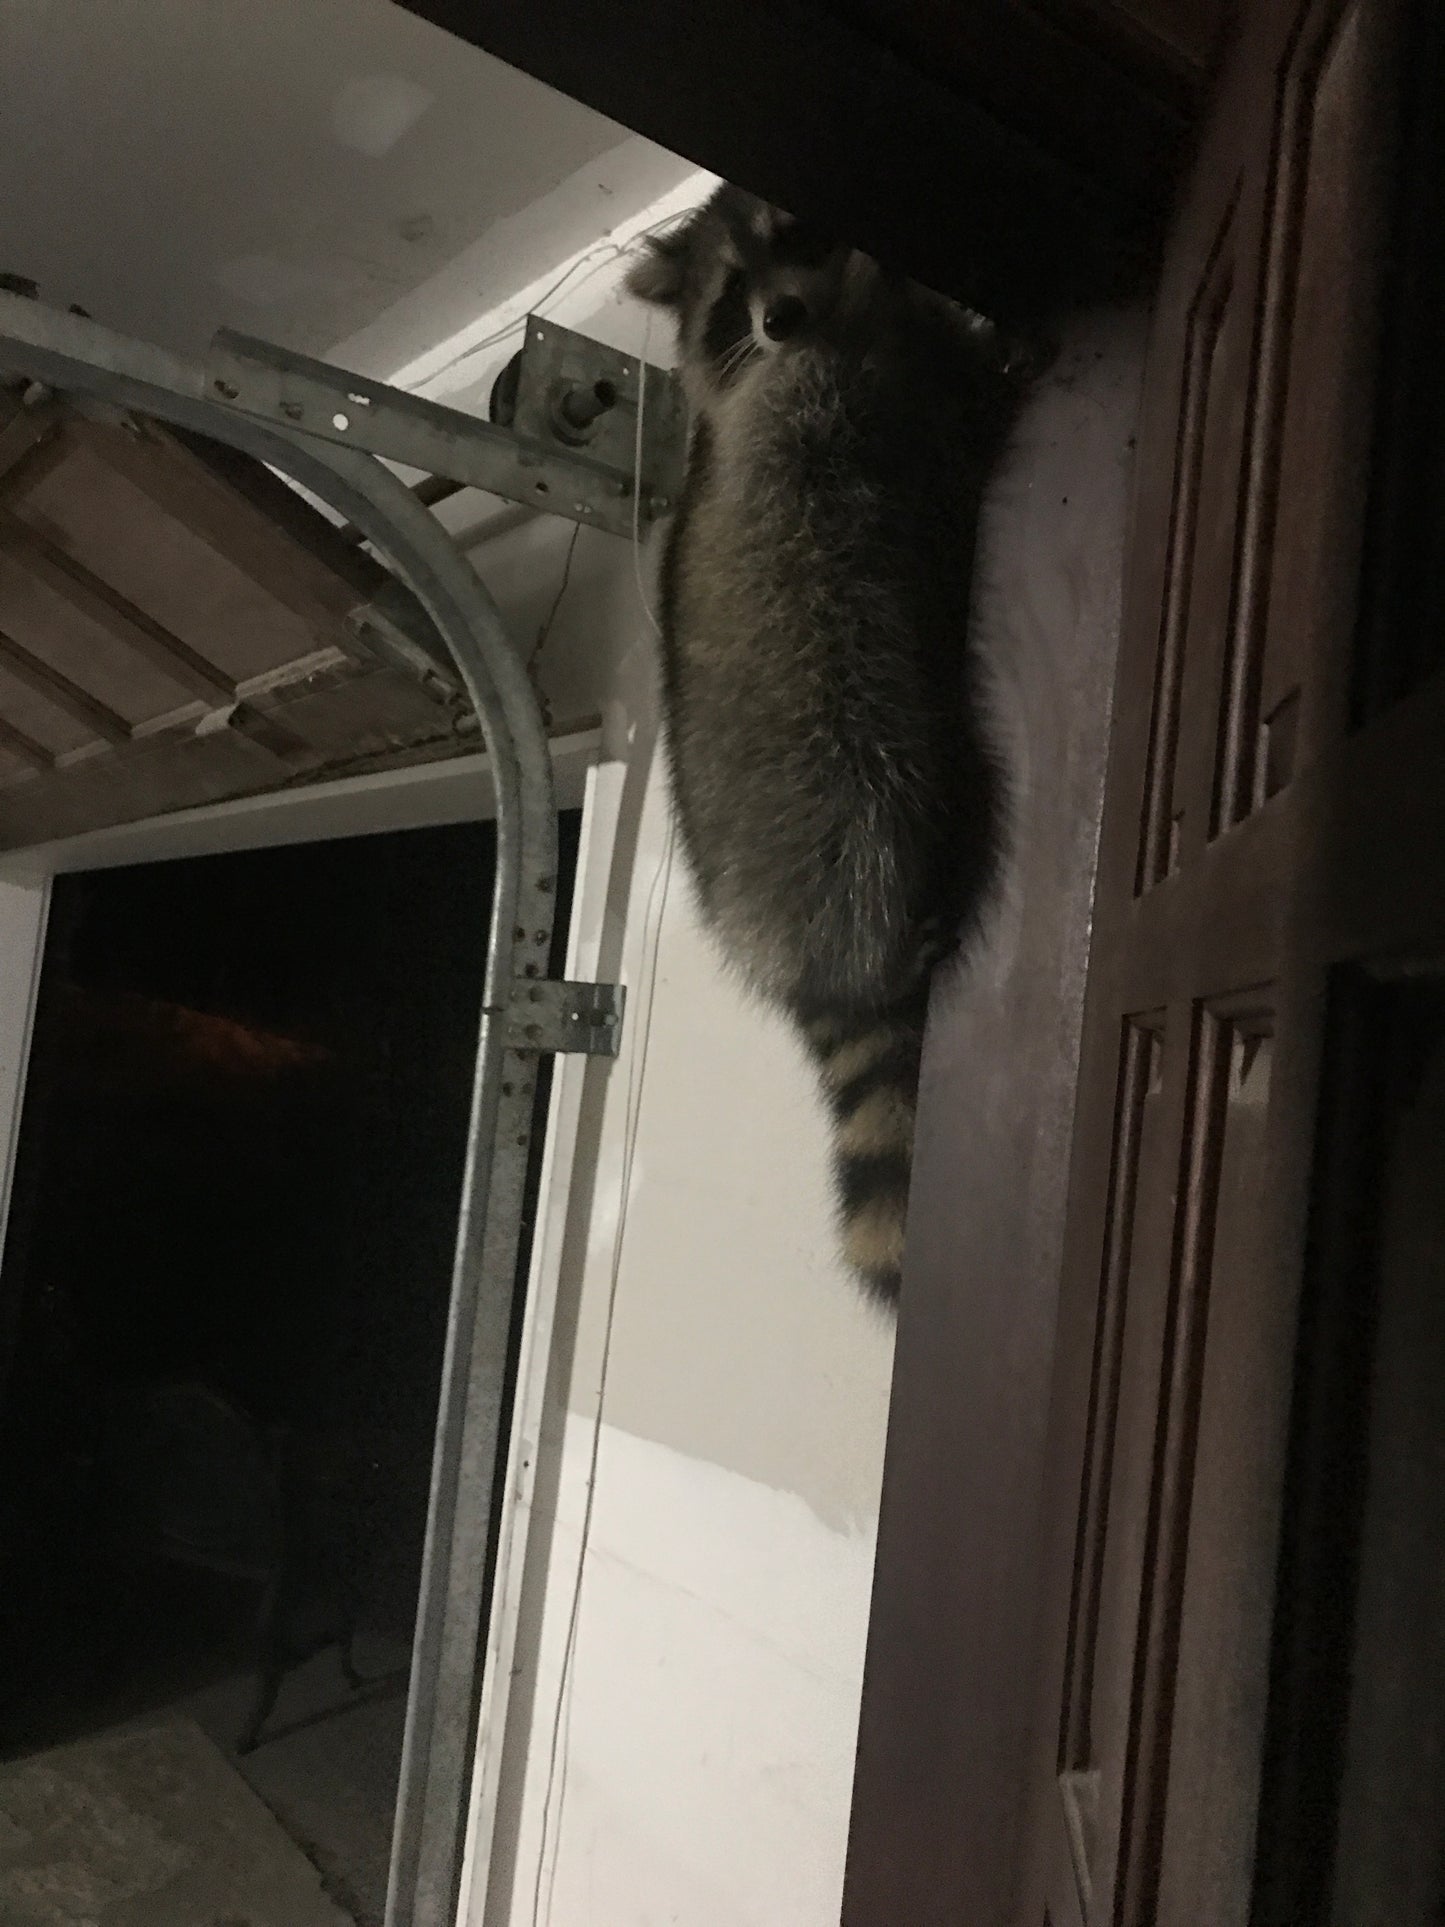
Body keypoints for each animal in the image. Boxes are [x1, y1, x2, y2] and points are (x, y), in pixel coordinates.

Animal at [627, 186, 1023, 1307]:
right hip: (837, 777)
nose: (779, 319)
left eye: (797, 231)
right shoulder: (835, 408)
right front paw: (1003, 357)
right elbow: (946, 421)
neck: (846, 326)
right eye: (730, 297)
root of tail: (811, 972)